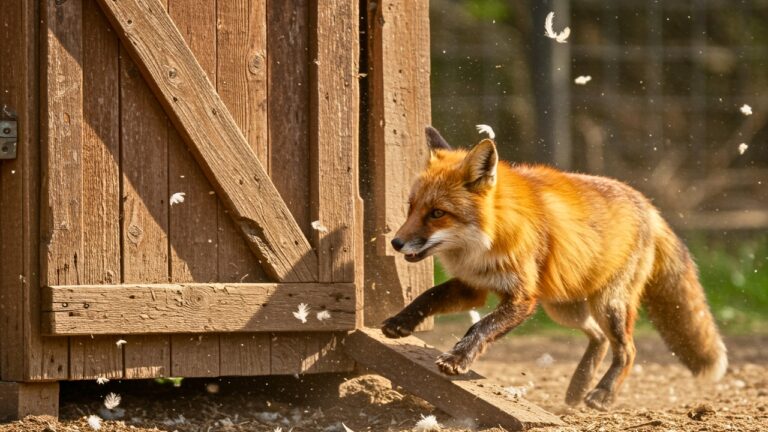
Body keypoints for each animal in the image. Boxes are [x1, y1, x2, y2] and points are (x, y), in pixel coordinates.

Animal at [382, 126, 728, 410]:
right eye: (411, 208)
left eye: (437, 213)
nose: (396, 243)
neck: (487, 241)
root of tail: (647, 203)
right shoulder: (472, 286)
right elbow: (428, 296)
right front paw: (400, 322)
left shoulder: (523, 298)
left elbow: (479, 328)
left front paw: (457, 358)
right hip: (565, 307)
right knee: (599, 339)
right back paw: (579, 385)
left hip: (608, 305)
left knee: (627, 350)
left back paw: (602, 395)